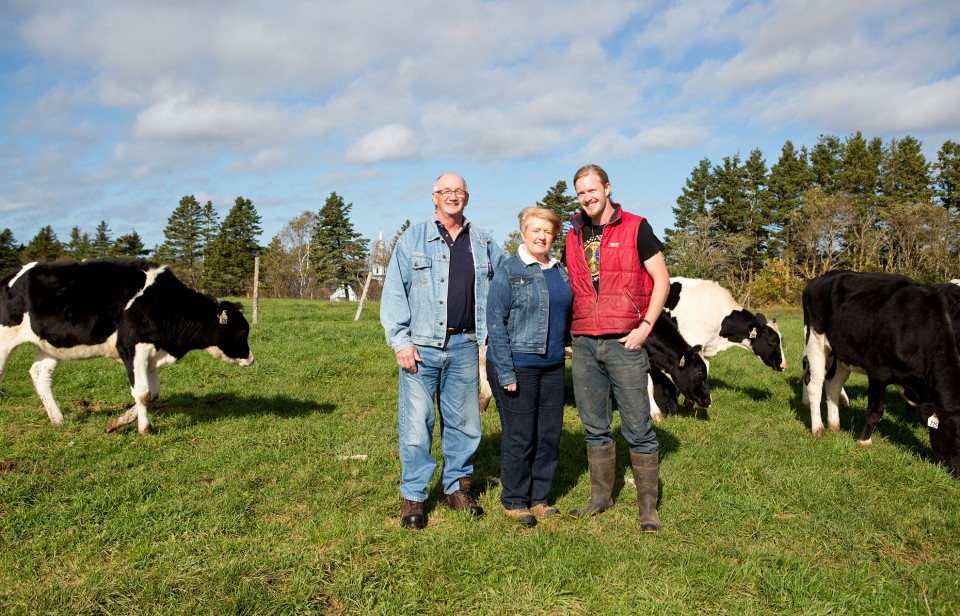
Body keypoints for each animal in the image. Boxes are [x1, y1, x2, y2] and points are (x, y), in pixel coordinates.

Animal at [0, 260, 255, 434]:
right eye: (242, 332)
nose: (251, 359)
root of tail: (11, 276)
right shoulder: (133, 348)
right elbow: (142, 393)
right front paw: (145, 428)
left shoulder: (152, 355)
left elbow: (153, 393)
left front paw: (118, 421)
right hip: (5, 339)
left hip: (51, 345)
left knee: (40, 374)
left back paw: (58, 419)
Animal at [804, 272, 960, 478]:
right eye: (957, 435)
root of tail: (820, 278)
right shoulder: (878, 372)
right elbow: (875, 411)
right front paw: (864, 441)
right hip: (815, 340)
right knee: (815, 385)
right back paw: (818, 429)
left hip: (844, 351)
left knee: (833, 386)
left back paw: (835, 425)